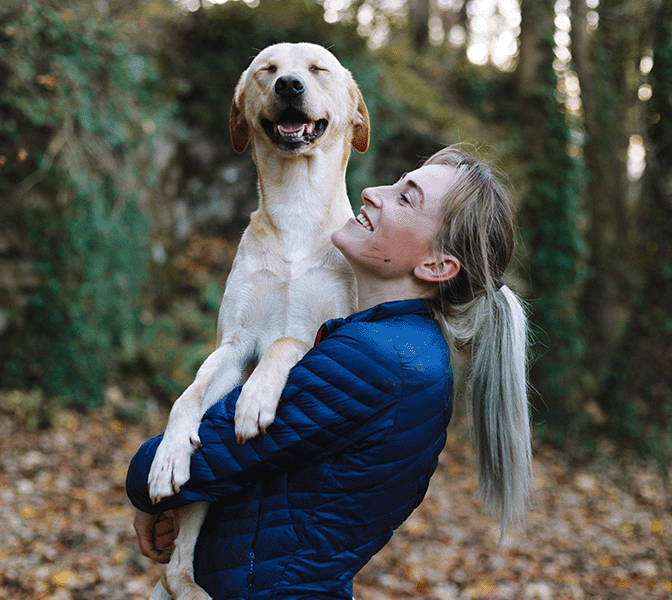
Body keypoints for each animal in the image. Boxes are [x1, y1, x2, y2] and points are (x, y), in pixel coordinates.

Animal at [145, 43, 370, 600]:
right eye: (267, 69)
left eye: (317, 69)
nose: (289, 85)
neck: (294, 211)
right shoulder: (233, 346)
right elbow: (189, 394)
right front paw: (167, 455)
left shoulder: (329, 331)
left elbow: (286, 342)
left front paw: (254, 401)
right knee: (175, 567)